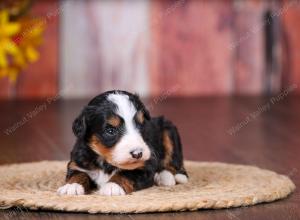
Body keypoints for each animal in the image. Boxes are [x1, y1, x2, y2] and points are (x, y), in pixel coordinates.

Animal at [57, 90, 188, 196]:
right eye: (110, 131)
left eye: (141, 125)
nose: (137, 153)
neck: (105, 162)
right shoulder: (77, 163)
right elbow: (78, 174)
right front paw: (72, 186)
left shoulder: (144, 167)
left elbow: (126, 173)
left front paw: (112, 186)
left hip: (169, 130)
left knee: (173, 162)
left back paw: (166, 176)